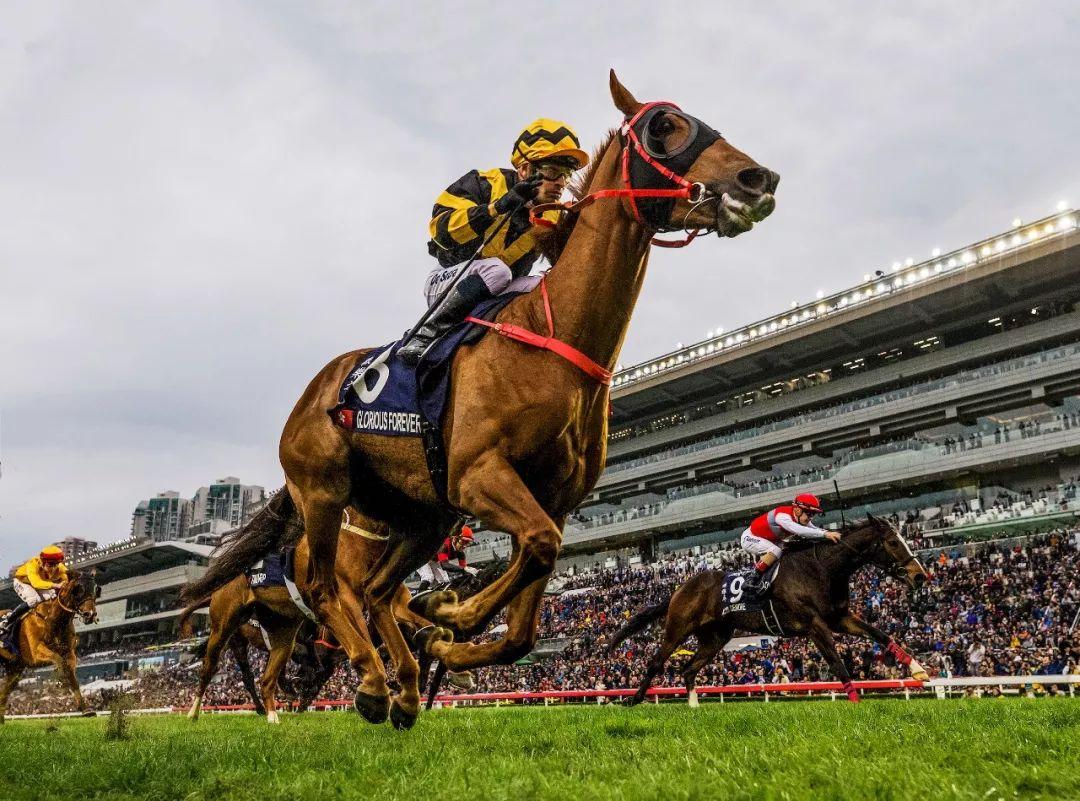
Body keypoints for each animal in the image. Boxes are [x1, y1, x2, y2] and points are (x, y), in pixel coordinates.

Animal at [0, 574, 99, 725]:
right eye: (79, 590)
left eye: (95, 590)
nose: (90, 614)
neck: (53, 619)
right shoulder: (36, 652)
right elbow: (58, 661)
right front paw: (60, 679)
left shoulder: (69, 653)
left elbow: (71, 675)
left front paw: (86, 709)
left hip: (14, 669)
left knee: (5, 692)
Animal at [183, 72, 777, 729]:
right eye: (664, 126)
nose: (759, 179)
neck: (556, 338)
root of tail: (312, 391)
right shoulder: (478, 475)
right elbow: (536, 550)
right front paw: (450, 618)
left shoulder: (552, 500)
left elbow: (526, 613)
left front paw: (447, 635)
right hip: (324, 492)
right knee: (324, 589)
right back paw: (370, 680)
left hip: (420, 515)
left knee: (375, 592)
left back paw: (402, 687)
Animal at [613, 518, 933, 703]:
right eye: (892, 542)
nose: (920, 576)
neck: (822, 568)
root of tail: (679, 589)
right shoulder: (815, 624)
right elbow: (835, 659)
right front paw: (855, 700)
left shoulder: (840, 618)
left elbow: (881, 635)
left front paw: (919, 670)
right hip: (678, 629)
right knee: (656, 663)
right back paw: (633, 700)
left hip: (716, 637)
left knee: (688, 668)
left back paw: (693, 706)